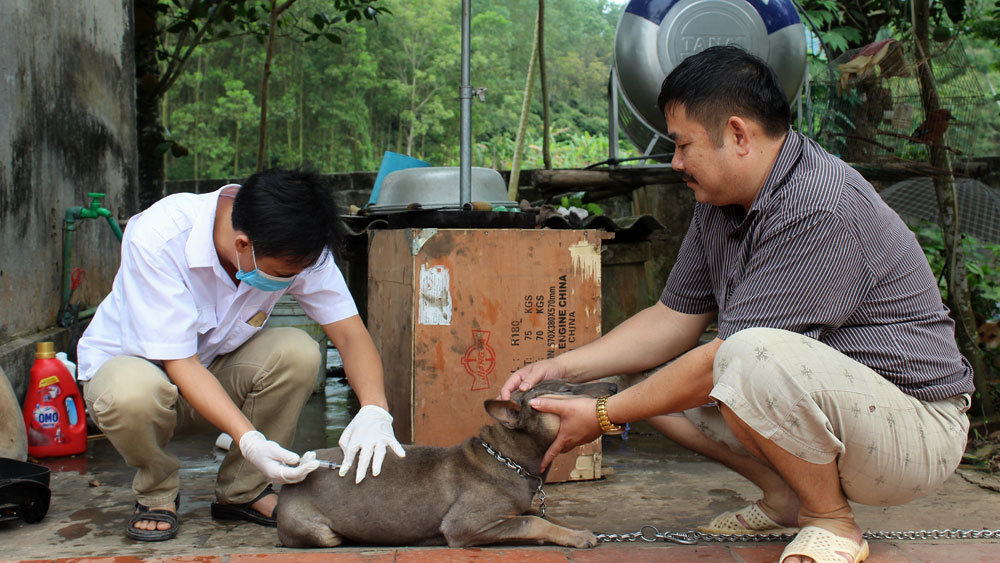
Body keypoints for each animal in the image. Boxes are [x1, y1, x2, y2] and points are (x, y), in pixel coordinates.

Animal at [276, 382, 616, 548]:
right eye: (566, 391)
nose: (614, 388)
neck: (507, 458)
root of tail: (290, 484)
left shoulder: (514, 509)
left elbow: (544, 516)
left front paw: (577, 530)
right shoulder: (467, 524)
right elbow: (534, 522)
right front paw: (578, 538)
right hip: (316, 530)